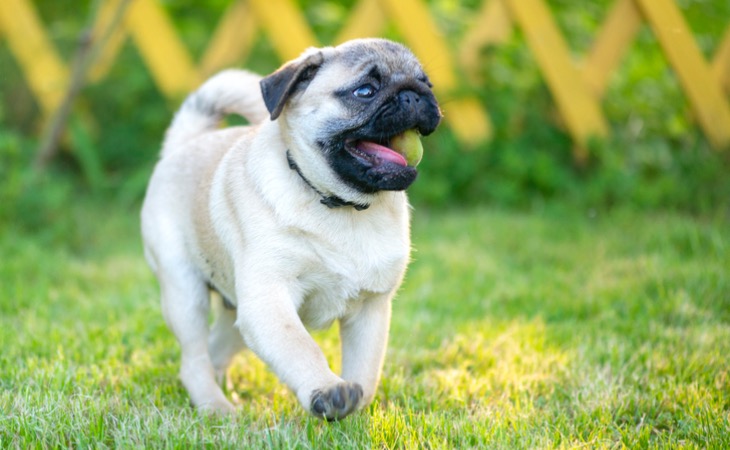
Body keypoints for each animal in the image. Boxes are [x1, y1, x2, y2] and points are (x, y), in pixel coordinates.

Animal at [141, 37, 438, 420]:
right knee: (194, 358)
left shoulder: (370, 310)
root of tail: (182, 146)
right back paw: (215, 406)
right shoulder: (269, 301)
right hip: (185, 291)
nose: (414, 94)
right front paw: (328, 390)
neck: (341, 205)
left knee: (216, 348)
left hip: (237, 311)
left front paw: (356, 415)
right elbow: (300, 347)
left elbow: (366, 371)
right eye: (365, 91)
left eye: (427, 83)